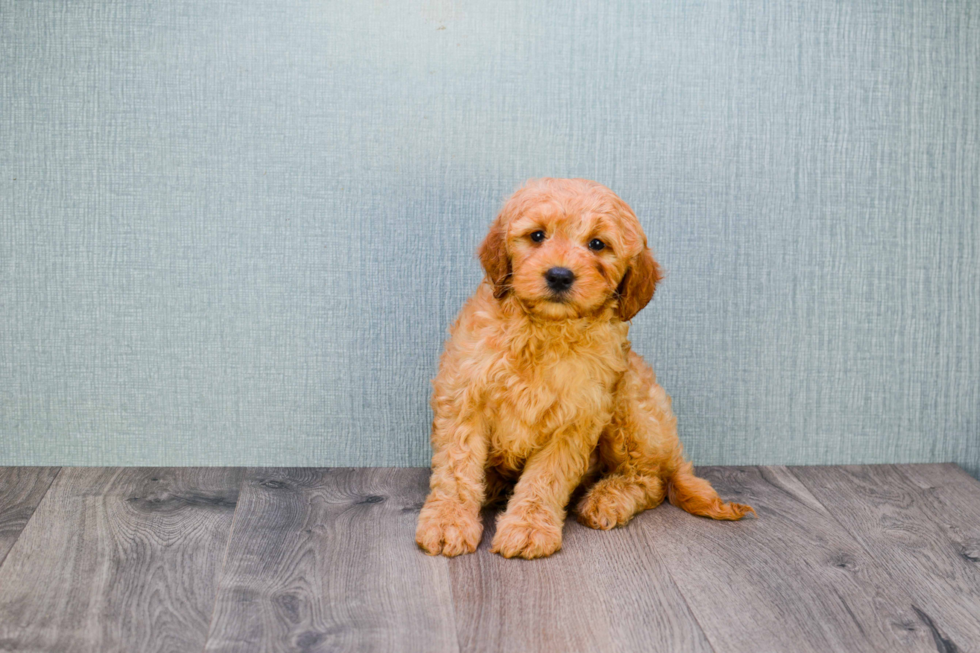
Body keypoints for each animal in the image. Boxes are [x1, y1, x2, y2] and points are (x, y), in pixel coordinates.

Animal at [414, 178, 752, 560]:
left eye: (597, 244)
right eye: (537, 236)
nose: (560, 275)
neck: (544, 330)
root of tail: (676, 454)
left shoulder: (575, 418)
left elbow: (545, 479)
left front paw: (528, 528)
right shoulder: (465, 398)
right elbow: (457, 470)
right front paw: (449, 521)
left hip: (629, 404)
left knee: (649, 479)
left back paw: (607, 499)